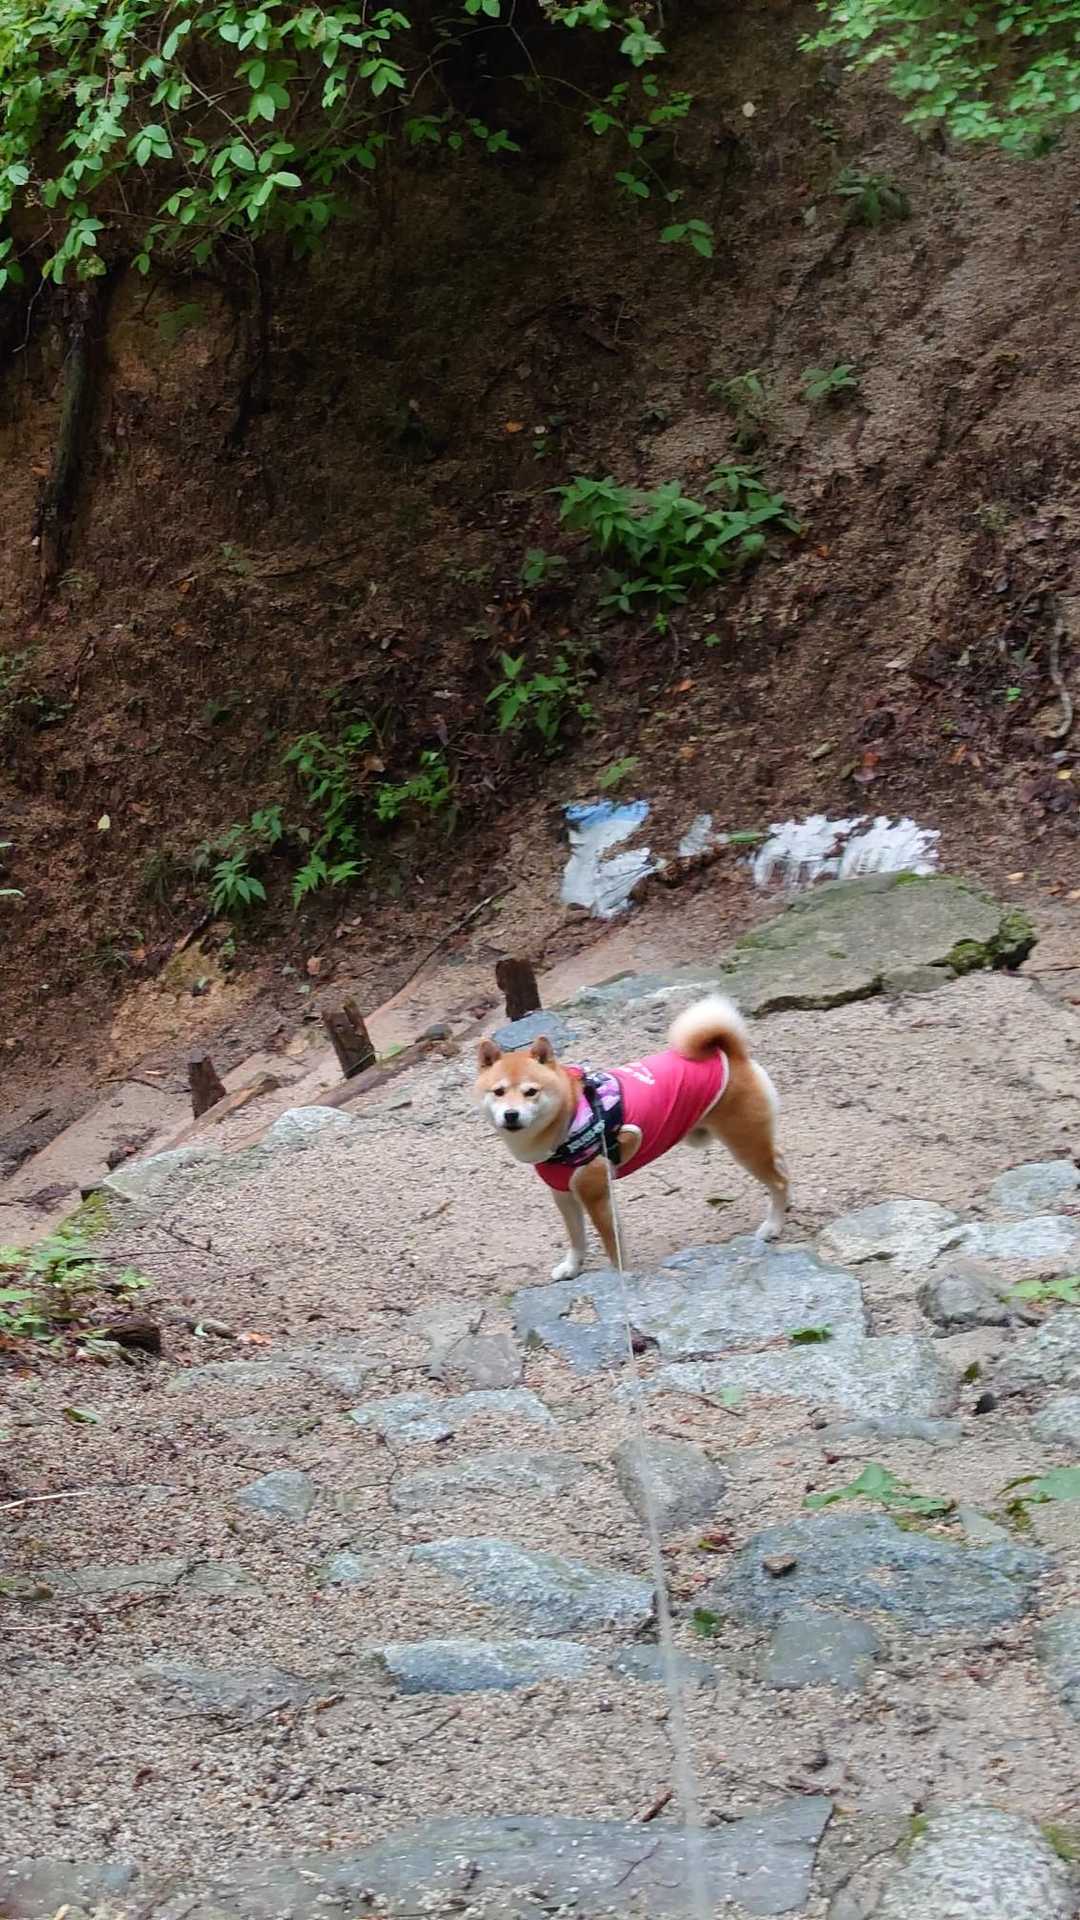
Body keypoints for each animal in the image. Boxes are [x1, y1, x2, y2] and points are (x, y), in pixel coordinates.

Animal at [473, 995, 788, 1279]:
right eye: (499, 1091)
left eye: (531, 1092)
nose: (511, 1114)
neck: (570, 1117)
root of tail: (728, 1052)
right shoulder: (563, 1194)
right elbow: (577, 1238)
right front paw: (572, 1268)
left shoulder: (596, 1194)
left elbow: (612, 1243)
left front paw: (620, 1276)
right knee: (781, 1165)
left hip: (744, 1143)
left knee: (778, 1181)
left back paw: (773, 1225)